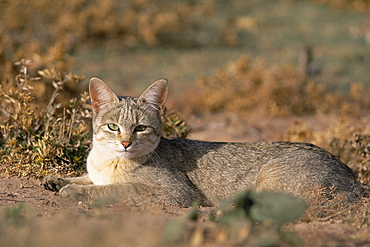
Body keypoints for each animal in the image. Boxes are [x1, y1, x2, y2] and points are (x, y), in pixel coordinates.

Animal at [42, 77, 362, 206]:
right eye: (113, 127)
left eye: (140, 128)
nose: (125, 144)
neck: (108, 162)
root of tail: (355, 180)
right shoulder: (96, 173)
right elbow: (87, 178)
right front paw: (58, 180)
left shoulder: (175, 194)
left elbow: (117, 190)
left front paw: (74, 191)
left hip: (269, 180)